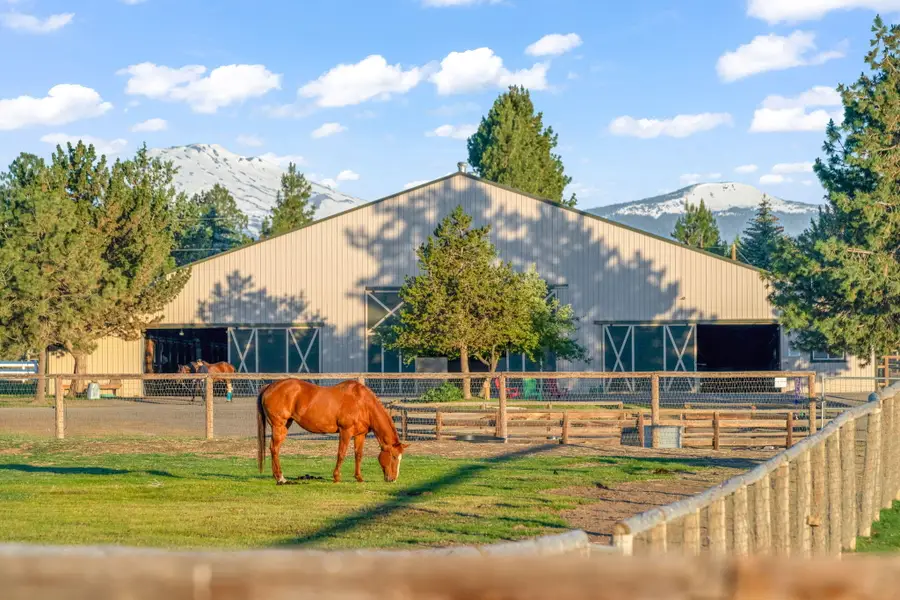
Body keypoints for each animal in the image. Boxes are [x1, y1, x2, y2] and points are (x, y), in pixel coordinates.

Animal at [257, 379, 408, 485]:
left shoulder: (360, 435)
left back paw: (277, 476)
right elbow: (341, 454)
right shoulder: (345, 432)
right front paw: (336, 477)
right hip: (279, 426)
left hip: (285, 425)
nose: (393, 479)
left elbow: (358, 455)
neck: (362, 403)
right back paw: (280, 478)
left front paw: (359, 478)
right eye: (394, 457)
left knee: (274, 449)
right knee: (274, 448)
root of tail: (269, 386)